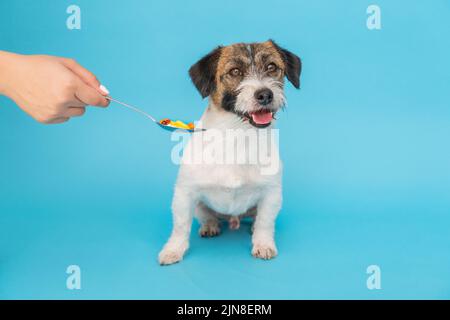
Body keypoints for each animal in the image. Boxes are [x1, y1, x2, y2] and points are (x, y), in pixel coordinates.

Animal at [158, 40, 302, 264]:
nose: (265, 94)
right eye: (235, 71)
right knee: (208, 216)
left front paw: (263, 244)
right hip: (200, 205)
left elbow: (265, 222)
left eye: (272, 67)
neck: (238, 136)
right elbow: (180, 226)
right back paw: (210, 226)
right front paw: (173, 249)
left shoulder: (271, 194)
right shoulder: (185, 193)